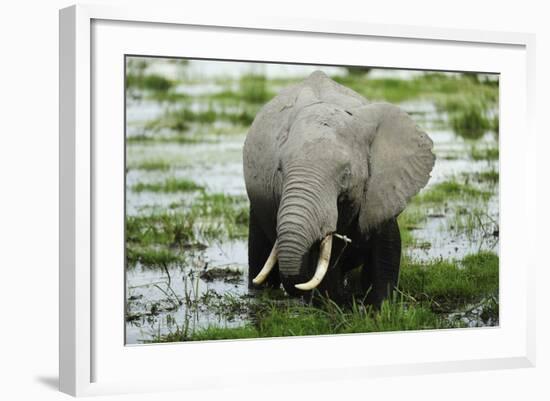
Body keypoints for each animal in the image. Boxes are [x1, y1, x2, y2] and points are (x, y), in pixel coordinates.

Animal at [243, 70, 436, 304]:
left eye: (346, 174)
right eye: (279, 169)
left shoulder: (381, 192)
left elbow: (386, 250)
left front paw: (381, 305)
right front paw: (333, 304)